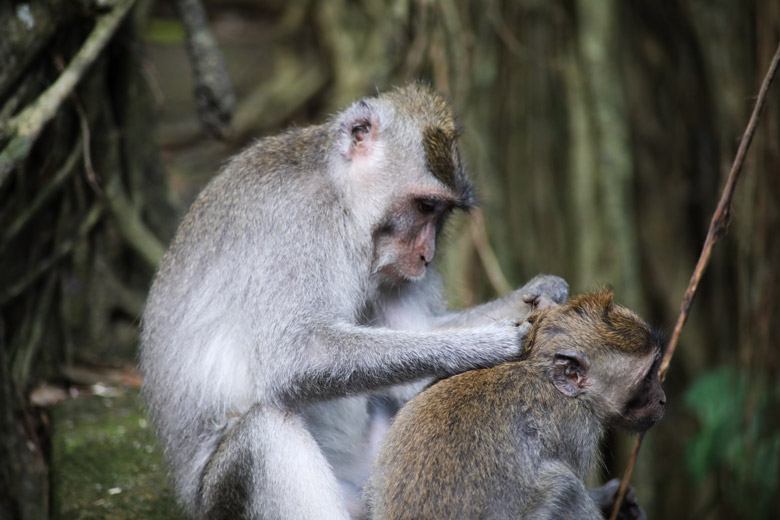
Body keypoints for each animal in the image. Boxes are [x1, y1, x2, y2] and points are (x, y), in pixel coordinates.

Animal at [140, 83, 568, 516]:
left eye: (442, 214)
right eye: (426, 206)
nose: (426, 255)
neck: (340, 197)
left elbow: (415, 328)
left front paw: (546, 292)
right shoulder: (299, 222)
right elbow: (295, 357)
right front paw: (489, 345)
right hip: (216, 500)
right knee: (264, 432)